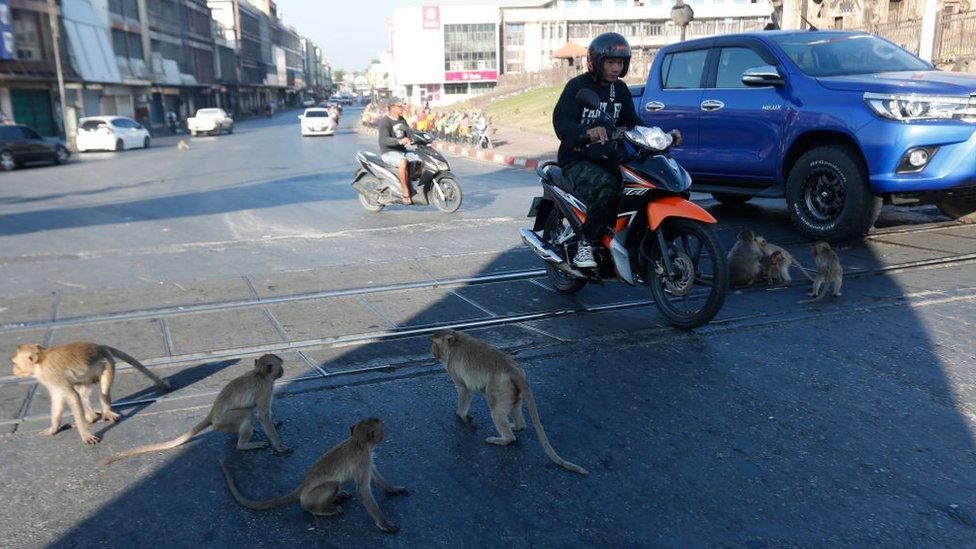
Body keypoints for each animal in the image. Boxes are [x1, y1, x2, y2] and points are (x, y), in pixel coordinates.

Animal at [10, 342, 171, 446]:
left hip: (108, 364)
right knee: (81, 390)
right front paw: (53, 428)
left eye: (14, 363)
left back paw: (104, 412)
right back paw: (91, 417)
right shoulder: (51, 381)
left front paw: (85, 434)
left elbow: (72, 397)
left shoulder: (52, 375)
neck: (40, 362)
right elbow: (58, 398)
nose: (13, 370)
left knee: (103, 391)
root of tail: (100, 346)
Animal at [99, 354, 292, 464]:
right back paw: (244, 445)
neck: (260, 374)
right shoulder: (265, 388)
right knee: (246, 414)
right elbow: (262, 415)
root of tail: (212, 414)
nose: (283, 370)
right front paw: (279, 446)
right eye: (280, 366)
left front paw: (275, 423)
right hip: (223, 421)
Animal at [219, 418, 406, 532]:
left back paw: (337, 497)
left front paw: (392, 489)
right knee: (329, 487)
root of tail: (302, 487)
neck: (358, 442)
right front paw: (383, 523)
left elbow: (374, 475)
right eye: (380, 429)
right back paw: (321, 509)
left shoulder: (366, 458)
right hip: (310, 497)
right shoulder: (363, 460)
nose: (384, 432)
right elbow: (363, 490)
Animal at [432, 330, 588, 476]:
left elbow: (464, 390)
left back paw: (504, 439)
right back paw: (518, 426)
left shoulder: (453, 367)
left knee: (497, 412)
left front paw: (460, 415)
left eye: (433, 343)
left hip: (499, 388)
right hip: (511, 390)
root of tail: (513, 368)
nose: (431, 350)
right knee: (514, 407)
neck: (456, 341)